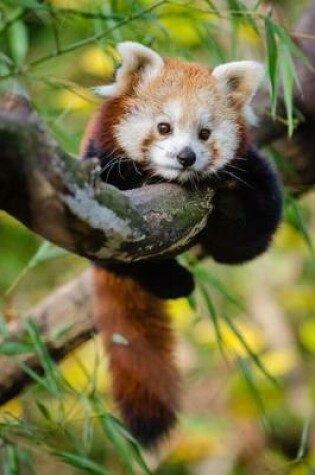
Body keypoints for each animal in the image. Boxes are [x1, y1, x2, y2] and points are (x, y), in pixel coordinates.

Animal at [81, 41, 284, 446]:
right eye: (164, 127)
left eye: (205, 133)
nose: (185, 157)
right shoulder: (101, 168)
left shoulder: (253, 173)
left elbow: (250, 238)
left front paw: (227, 195)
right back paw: (173, 281)